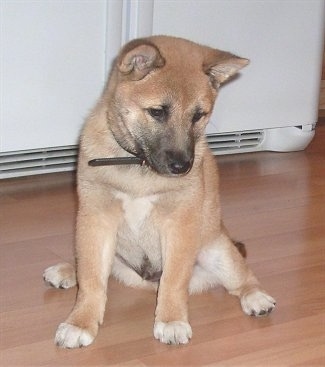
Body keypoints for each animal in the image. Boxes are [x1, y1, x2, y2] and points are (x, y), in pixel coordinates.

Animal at [43, 36, 274, 350]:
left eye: (198, 116)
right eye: (157, 112)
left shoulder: (179, 224)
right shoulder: (96, 219)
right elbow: (91, 279)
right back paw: (66, 270)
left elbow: (174, 282)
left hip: (217, 251)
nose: (182, 167)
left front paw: (171, 321)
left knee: (242, 277)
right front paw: (81, 321)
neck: (138, 164)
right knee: (89, 267)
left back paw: (256, 297)